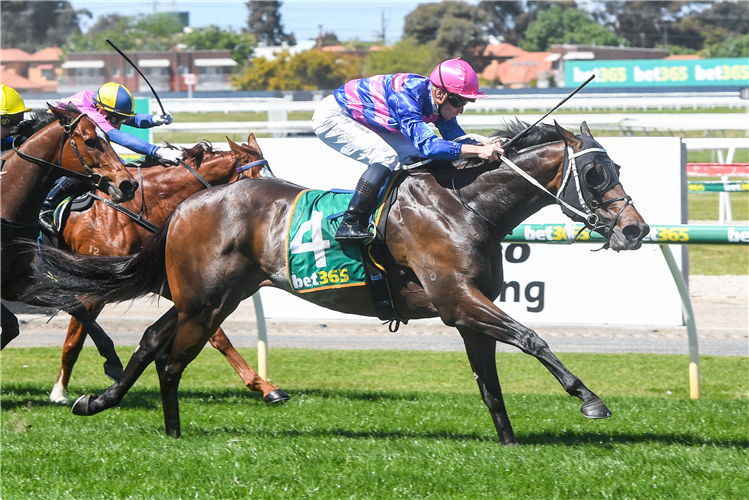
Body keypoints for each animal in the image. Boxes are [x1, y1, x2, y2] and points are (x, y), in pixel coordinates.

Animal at [0, 104, 138, 378]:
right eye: (90, 141)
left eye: (109, 138)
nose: (128, 184)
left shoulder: (19, 283)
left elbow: (76, 308)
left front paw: (113, 361)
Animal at [47, 134, 286, 406]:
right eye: (257, 178)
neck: (129, 212)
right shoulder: (93, 288)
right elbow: (75, 338)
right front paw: (60, 391)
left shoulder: (162, 281)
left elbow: (217, 335)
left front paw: (266, 387)